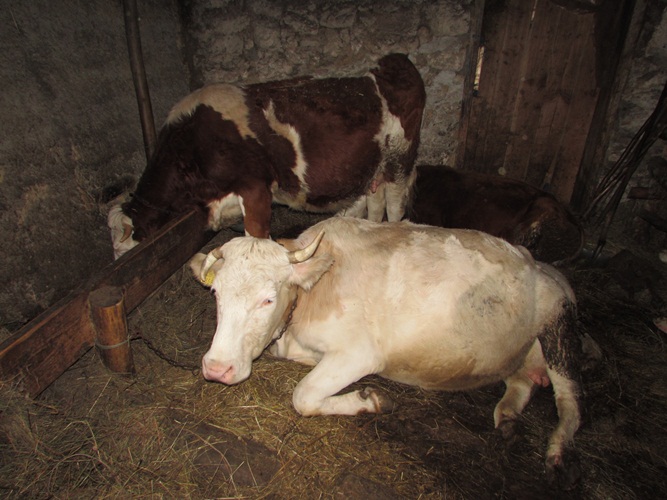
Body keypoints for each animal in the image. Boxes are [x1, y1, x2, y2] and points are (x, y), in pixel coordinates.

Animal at [108, 54, 426, 259]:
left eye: (121, 251)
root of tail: (393, 59)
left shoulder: (255, 189)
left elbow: (256, 240)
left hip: (399, 160)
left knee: (394, 207)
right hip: (375, 168)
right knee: (375, 204)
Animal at [190, 217, 584, 489]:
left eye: (268, 299)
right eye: (216, 293)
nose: (217, 368)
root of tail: (538, 264)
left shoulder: (360, 354)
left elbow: (303, 396)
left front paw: (372, 400)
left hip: (560, 327)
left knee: (570, 403)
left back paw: (556, 453)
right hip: (516, 355)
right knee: (522, 382)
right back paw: (507, 419)